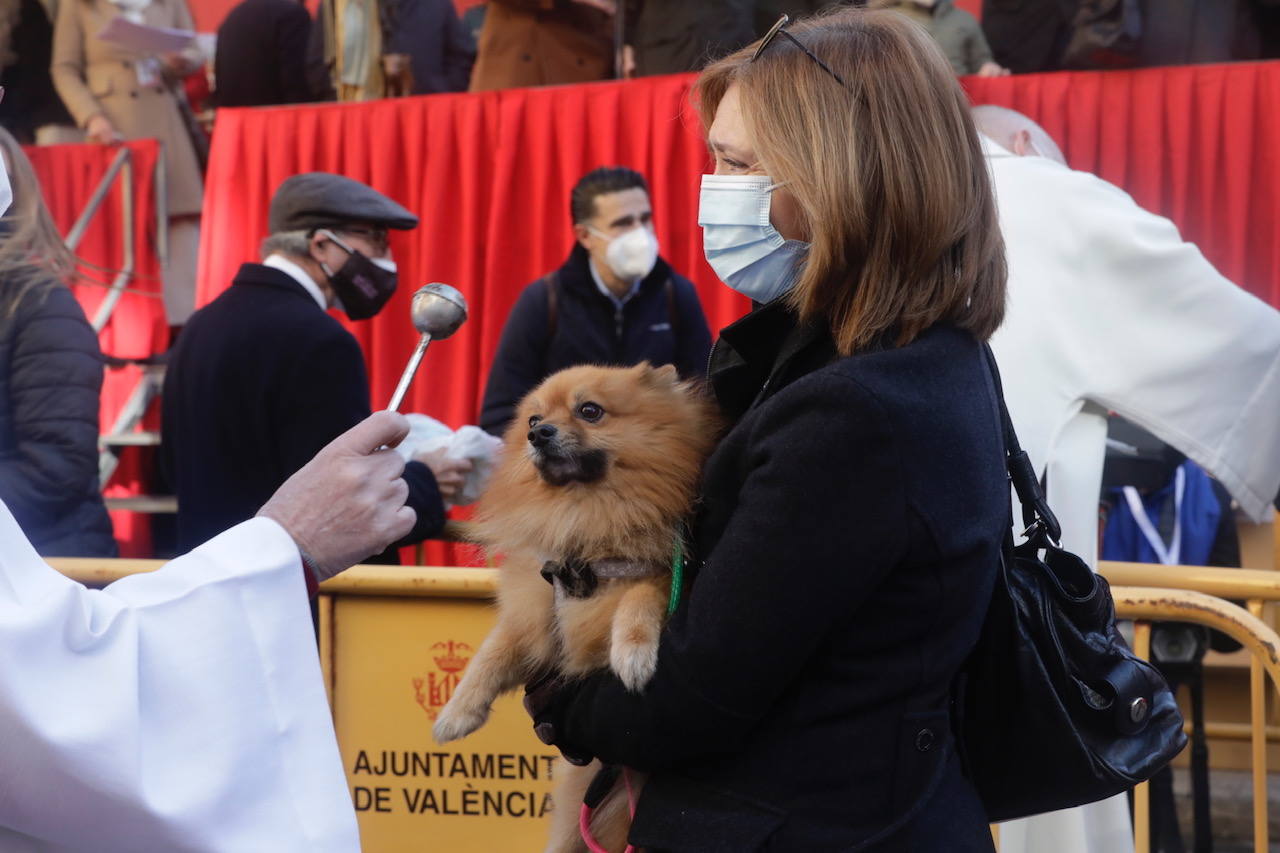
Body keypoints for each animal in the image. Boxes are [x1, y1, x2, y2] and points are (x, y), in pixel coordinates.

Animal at [435, 361, 721, 850]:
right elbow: (491, 654)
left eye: (590, 411)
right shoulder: (535, 612)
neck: (585, 519)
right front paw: (456, 713)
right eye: (532, 419)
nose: (539, 434)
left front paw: (632, 654)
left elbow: (639, 599)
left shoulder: (665, 575)